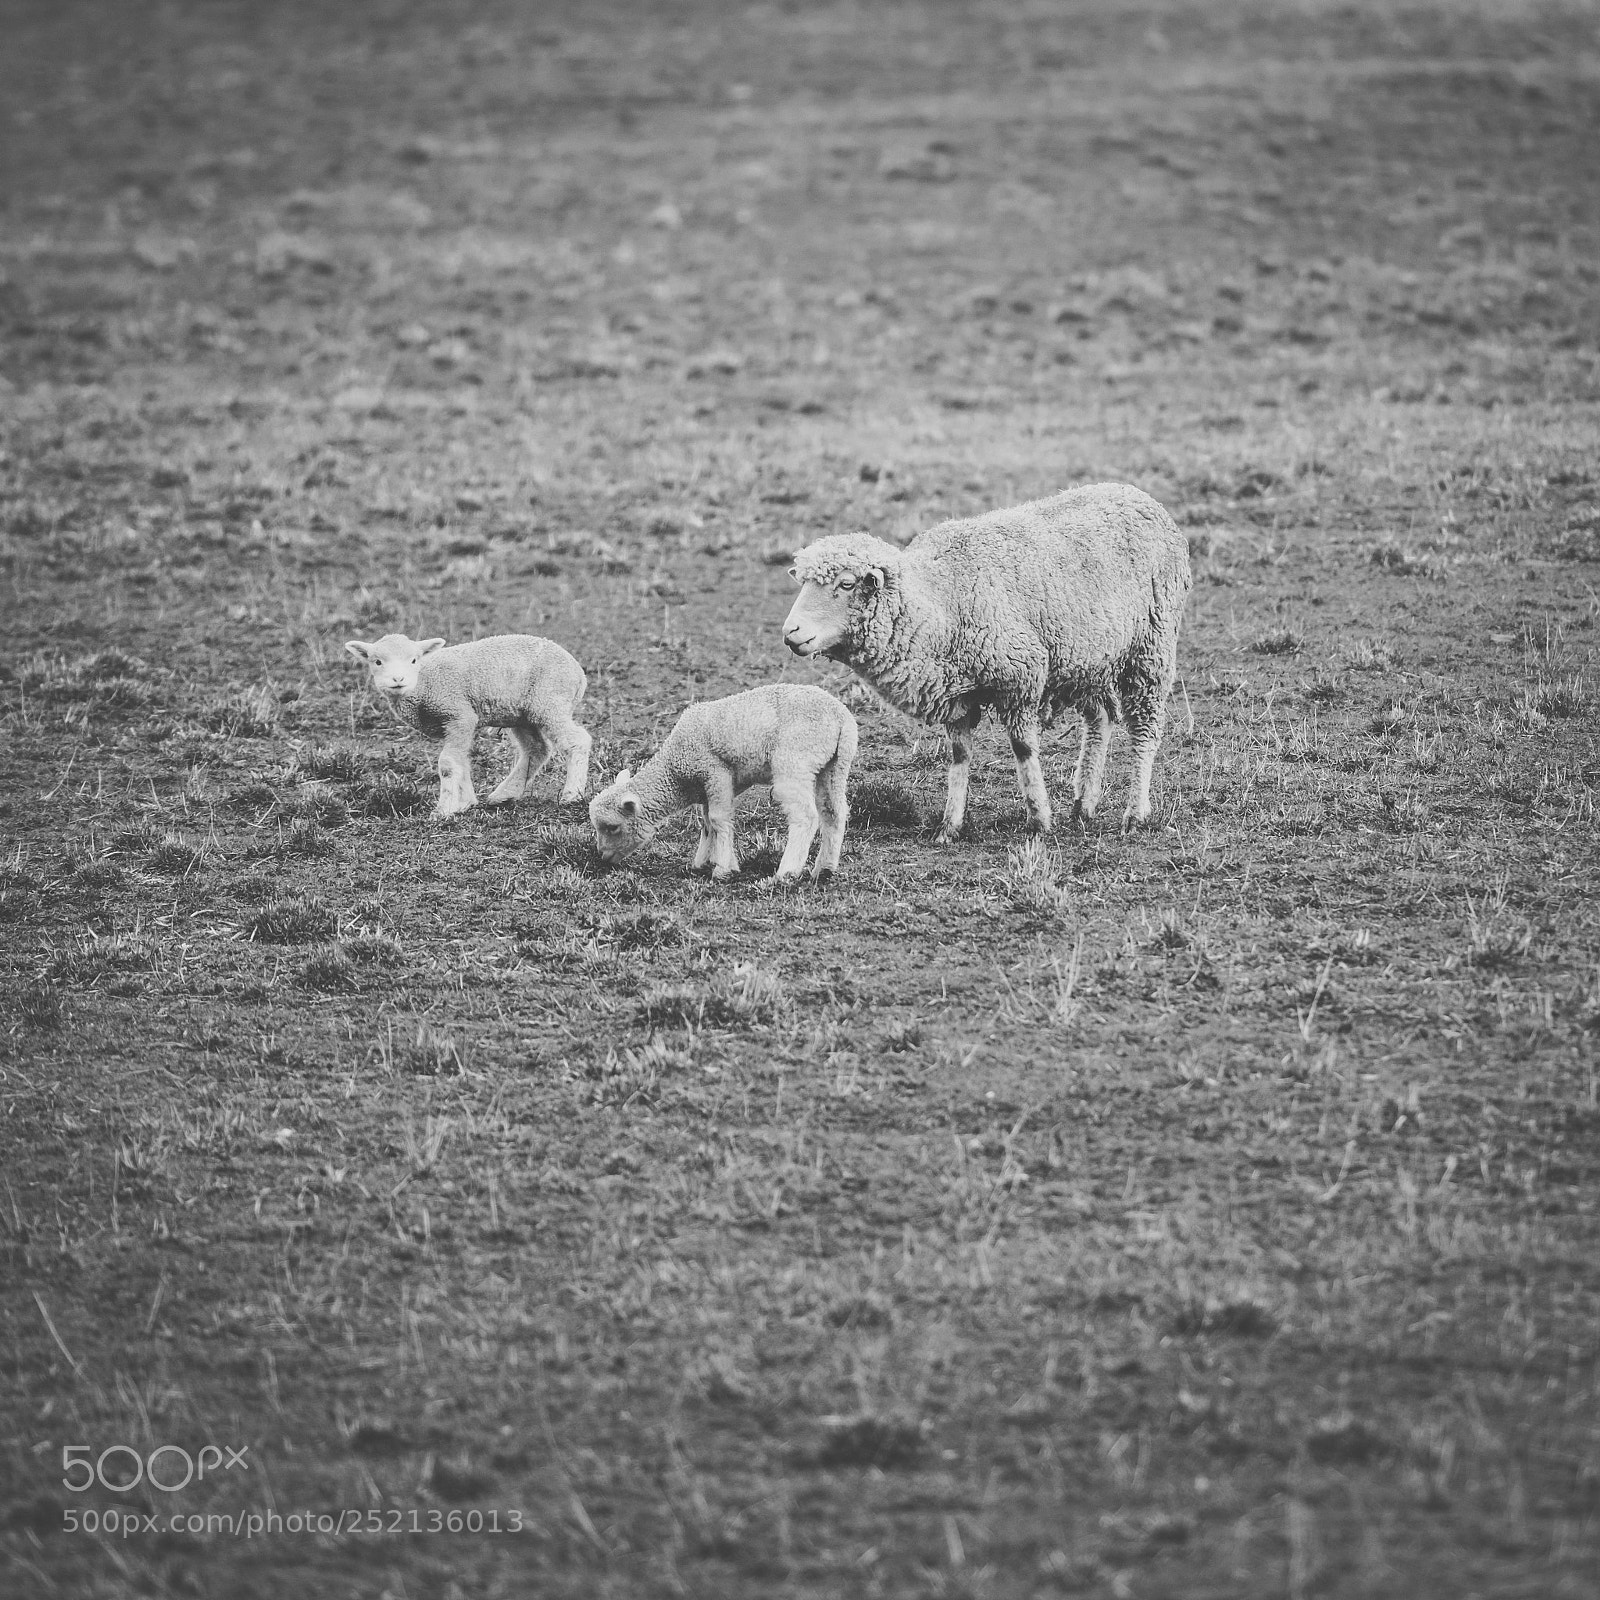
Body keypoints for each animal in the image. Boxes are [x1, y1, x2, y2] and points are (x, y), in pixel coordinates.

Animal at [344, 632, 591, 819]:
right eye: (377, 662)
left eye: (414, 660)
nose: (398, 679)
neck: (424, 682)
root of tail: (579, 673)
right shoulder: (455, 724)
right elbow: (461, 761)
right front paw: (465, 803)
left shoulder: (459, 715)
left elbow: (448, 763)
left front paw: (444, 810)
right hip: (521, 713)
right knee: (537, 749)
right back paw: (505, 794)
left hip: (549, 701)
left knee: (577, 740)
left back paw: (572, 794)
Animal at [588, 684, 857, 882]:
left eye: (612, 827)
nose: (602, 856)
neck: (677, 771)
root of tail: (842, 717)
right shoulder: (709, 786)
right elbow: (707, 823)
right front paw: (704, 863)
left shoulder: (715, 773)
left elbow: (718, 820)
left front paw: (723, 869)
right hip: (833, 765)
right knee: (833, 813)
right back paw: (824, 869)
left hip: (795, 761)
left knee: (805, 817)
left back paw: (786, 872)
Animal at [782, 481, 1191, 838]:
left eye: (847, 584)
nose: (790, 633)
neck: (940, 601)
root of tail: (1139, 495)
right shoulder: (956, 695)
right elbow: (959, 756)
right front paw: (950, 826)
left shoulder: (1021, 676)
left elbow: (1023, 749)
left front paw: (1039, 819)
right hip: (1086, 659)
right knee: (1101, 718)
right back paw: (1083, 804)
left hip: (1151, 646)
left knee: (1144, 730)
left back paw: (1134, 814)